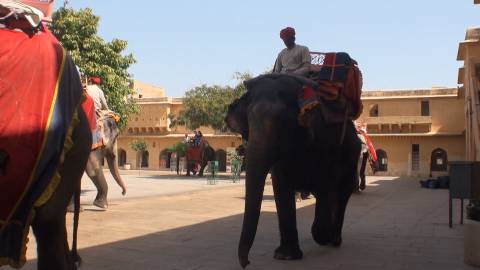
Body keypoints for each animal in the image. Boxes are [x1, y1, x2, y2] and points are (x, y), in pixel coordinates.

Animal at [225, 73, 360, 268]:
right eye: (248, 123)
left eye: (282, 123)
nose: (246, 263)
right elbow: (281, 187)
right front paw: (285, 256)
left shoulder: (326, 144)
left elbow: (327, 184)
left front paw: (323, 235)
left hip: (352, 156)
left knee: (341, 193)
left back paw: (334, 239)